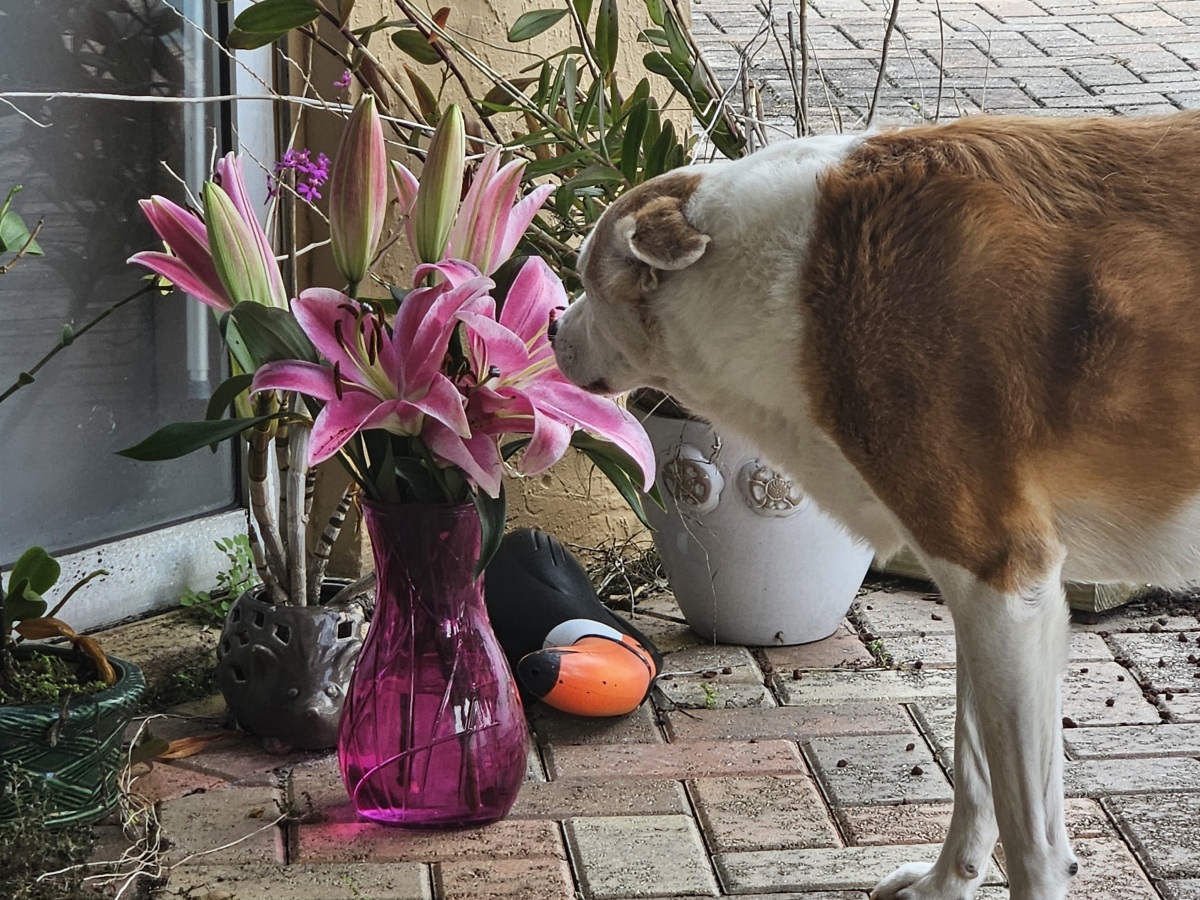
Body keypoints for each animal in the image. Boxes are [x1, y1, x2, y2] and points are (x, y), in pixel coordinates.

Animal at [549, 112, 1200, 900]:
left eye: (588, 277)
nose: (550, 326)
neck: (792, 278)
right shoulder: (982, 595)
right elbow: (975, 772)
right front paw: (947, 884)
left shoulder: (1003, 576)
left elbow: (1030, 834)